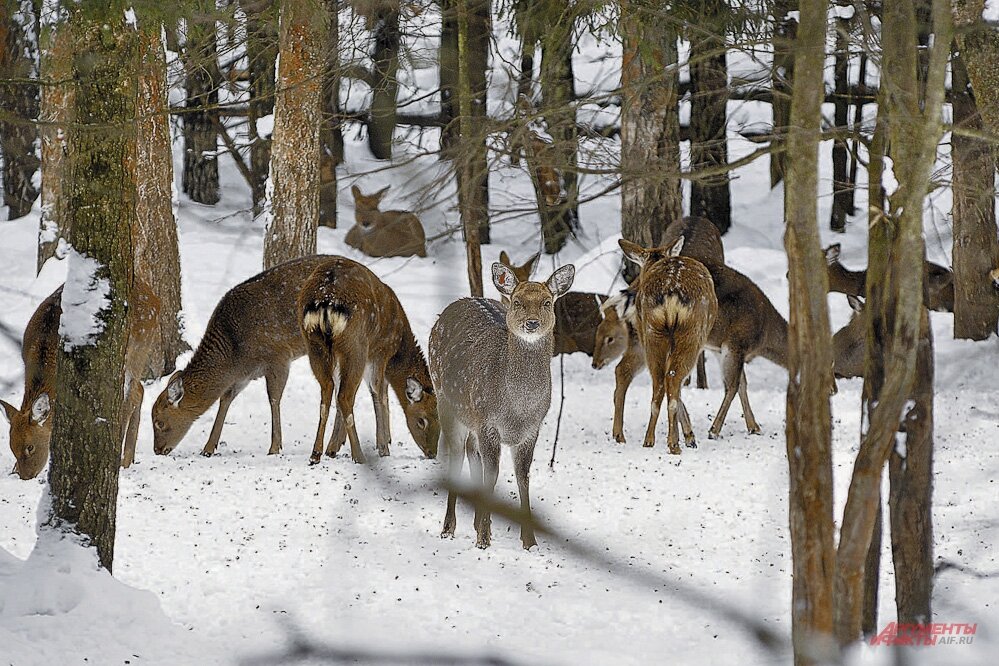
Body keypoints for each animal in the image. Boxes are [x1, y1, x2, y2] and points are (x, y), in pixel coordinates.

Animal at [2, 278, 160, 478]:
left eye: (30, 447)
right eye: (11, 447)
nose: (25, 476)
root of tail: (155, 299)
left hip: (136, 351)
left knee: (131, 397)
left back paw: (121, 459)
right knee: (140, 389)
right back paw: (129, 459)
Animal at [296, 254, 438, 462]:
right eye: (422, 420)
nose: (432, 453)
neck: (399, 345)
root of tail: (325, 300)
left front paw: (333, 447)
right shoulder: (380, 352)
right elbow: (379, 392)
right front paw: (384, 446)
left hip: (314, 344)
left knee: (328, 390)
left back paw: (316, 453)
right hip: (356, 346)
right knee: (345, 396)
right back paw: (359, 455)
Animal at [432, 262, 580, 548]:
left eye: (547, 302)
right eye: (517, 302)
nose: (531, 323)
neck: (517, 409)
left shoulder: (532, 429)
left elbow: (522, 476)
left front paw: (529, 541)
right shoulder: (488, 422)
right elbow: (492, 474)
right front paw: (483, 539)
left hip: (470, 417)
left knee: (471, 452)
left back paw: (476, 521)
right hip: (444, 398)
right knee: (456, 456)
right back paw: (448, 528)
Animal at [616, 237, 720, 452]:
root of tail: (671, 294)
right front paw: (689, 437)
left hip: (651, 333)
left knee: (658, 382)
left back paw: (648, 440)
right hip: (692, 333)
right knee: (672, 378)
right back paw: (673, 444)